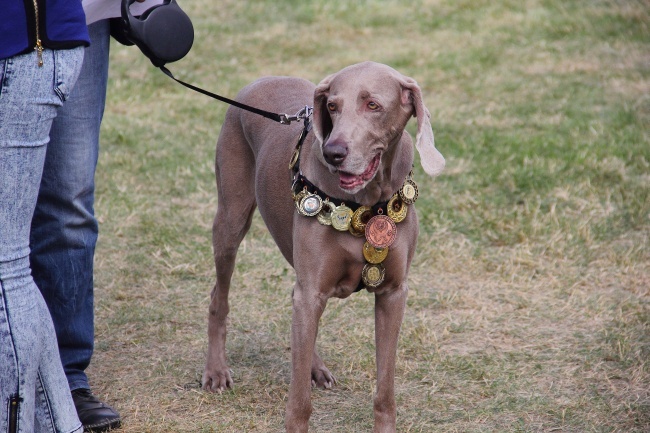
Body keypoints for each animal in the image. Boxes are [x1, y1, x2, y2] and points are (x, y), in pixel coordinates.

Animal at [202, 61, 442, 432]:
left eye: (373, 105)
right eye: (332, 106)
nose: (333, 152)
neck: (366, 205)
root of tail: (262, 78)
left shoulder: (393, 293)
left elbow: (385, 389)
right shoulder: (312, 287)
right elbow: (299, 403)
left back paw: (314, 367)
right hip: (231, 219)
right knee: (220, 296)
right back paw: (215, 371)